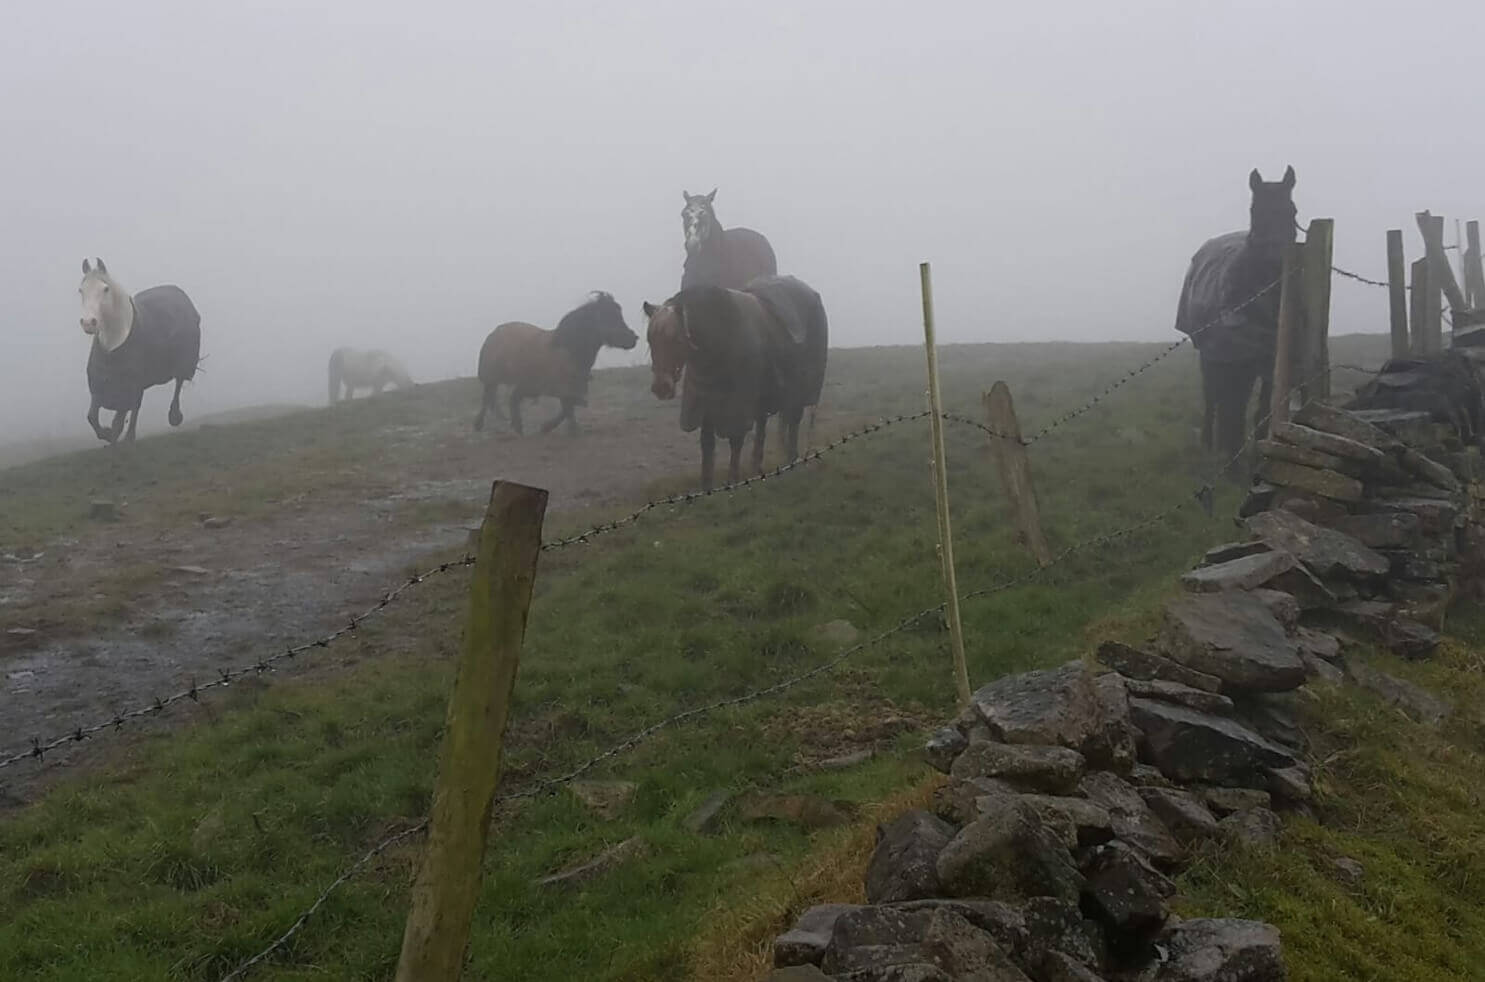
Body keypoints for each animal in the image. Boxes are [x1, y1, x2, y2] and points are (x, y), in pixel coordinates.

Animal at [77, 259, 203, 445]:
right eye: (81, 290)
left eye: (105, 289)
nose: (88, 323)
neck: (114, 346)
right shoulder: (100, 388)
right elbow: (92, 416)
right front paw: (108, 434)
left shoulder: (134, 384)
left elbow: (132, 409)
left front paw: (125, 436)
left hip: (182, 364)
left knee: (179, 383)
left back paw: (174, 416)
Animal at [475, 286, 638, 433]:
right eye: (609, 316)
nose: (633, 338)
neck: (569, 349)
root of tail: (493, 334)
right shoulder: (558, 388)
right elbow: (569, 407)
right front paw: (554, 428)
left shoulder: (567, 388)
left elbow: (570, 408)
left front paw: (557, 427)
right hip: (493, 380)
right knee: (487, 400)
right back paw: (480, 425)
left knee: (508, 399)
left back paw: (515, 425)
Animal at [644, 273, 831, 487]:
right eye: (651, 340)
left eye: (676, 340)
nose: (661, 387)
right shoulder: (705, 405)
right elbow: (707, 445)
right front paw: (706, 486)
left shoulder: (738, 406)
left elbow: (736, 440)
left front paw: (732, 481)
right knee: (763, 427)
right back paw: (757, 465)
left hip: (797, 391)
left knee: (793, 422)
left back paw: (791, 459)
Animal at [1170, 166, 1300, 457]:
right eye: (1254, 211)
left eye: (1292, 212)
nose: (1277, 263)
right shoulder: (1236, 359)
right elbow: (1234, 410)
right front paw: (1232, 457)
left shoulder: (1269, 361)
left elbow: (1262, 410)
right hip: (1210, 355)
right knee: (1212, 397)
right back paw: (1209, 443)